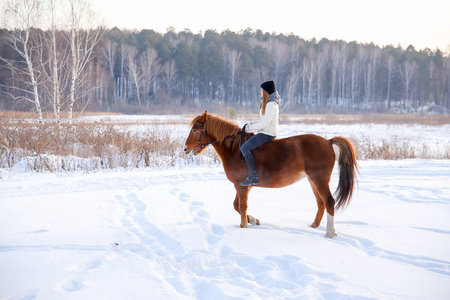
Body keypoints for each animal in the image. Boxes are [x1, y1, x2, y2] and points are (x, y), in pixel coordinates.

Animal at [184, 111, 358, 238]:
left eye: (195, 130)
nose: (186, 149)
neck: (235, 150)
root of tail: (328, 141)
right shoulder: (243, 187)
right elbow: (236, 206)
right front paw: (254, 220)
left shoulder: (241, 187)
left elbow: (241, 207)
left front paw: (243, 227)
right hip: (312, 180)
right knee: (321, 203)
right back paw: (314, 227)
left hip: (319, 179)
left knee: (329, 202)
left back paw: (329, 233)